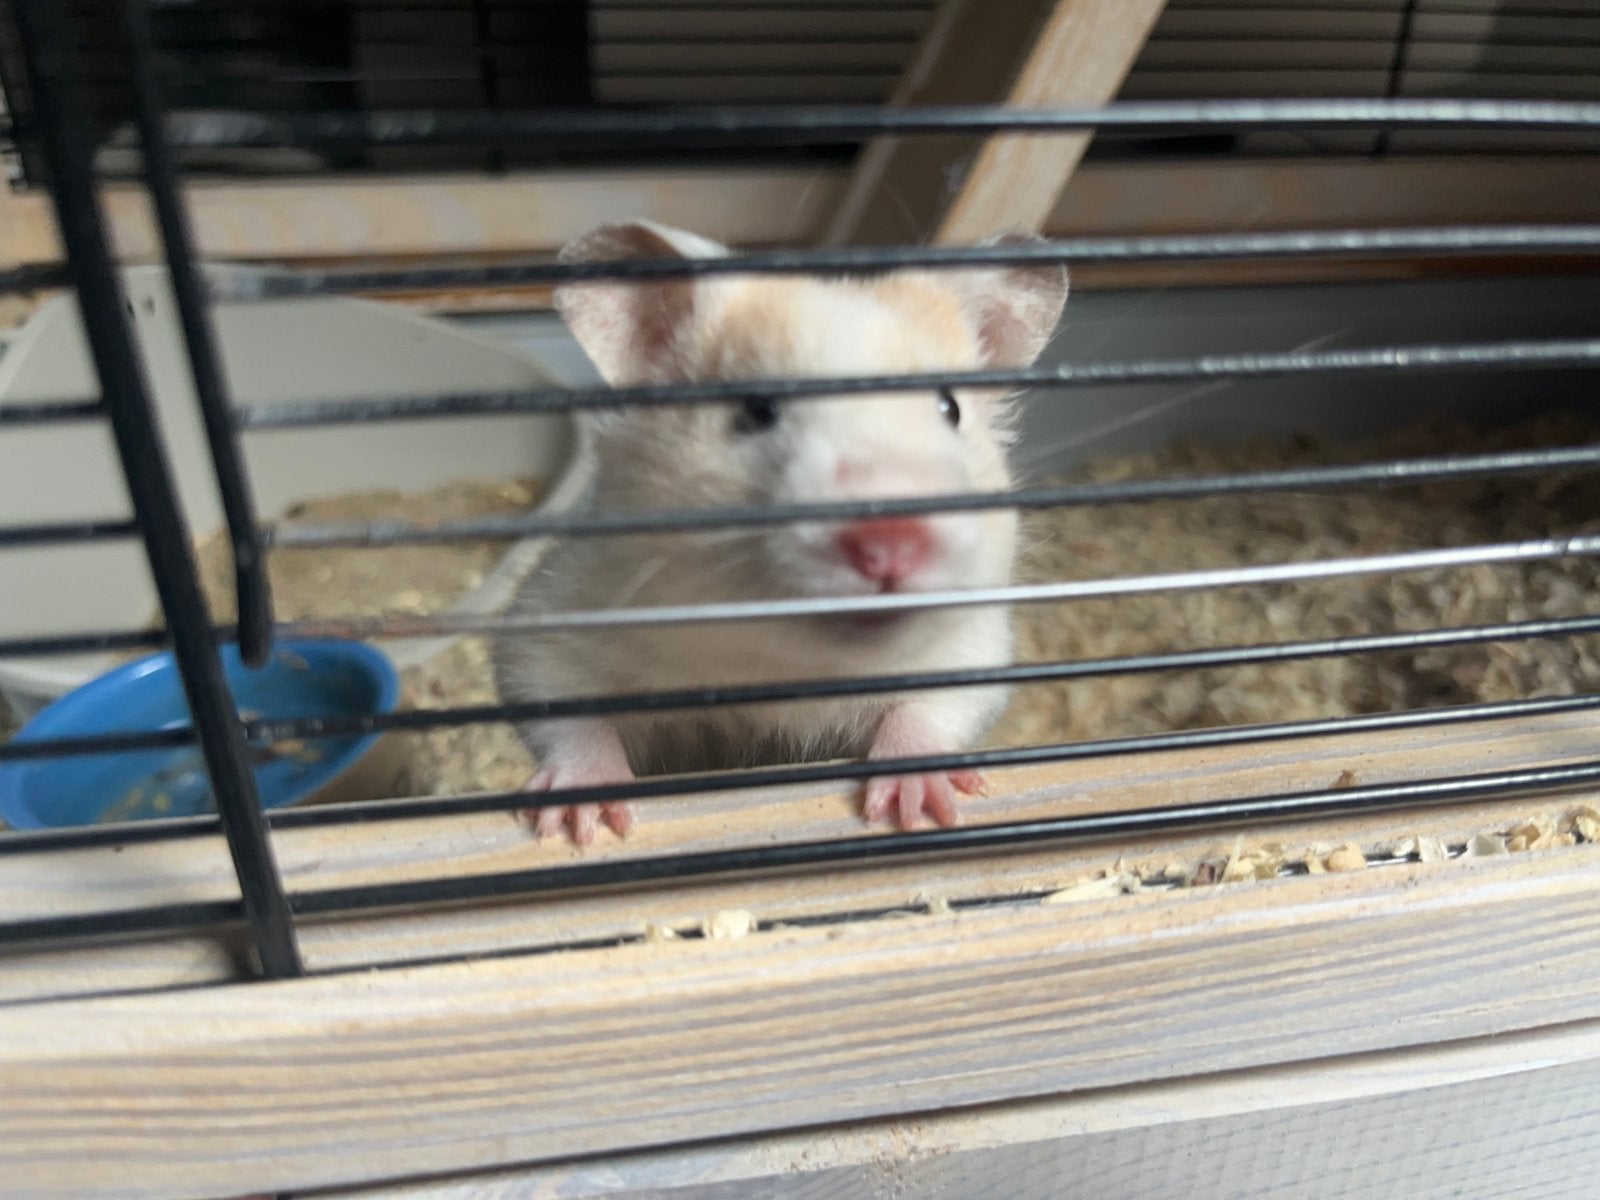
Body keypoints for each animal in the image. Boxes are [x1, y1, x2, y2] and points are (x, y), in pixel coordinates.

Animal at [493, 219, 1068, 845]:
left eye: (950, 409)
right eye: (759, 409)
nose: (893, 543)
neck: (790, 663)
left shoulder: (971, 649)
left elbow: (928, 713)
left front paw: (917, 808)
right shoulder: (549, 632)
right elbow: (567, 714)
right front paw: (582, 824)